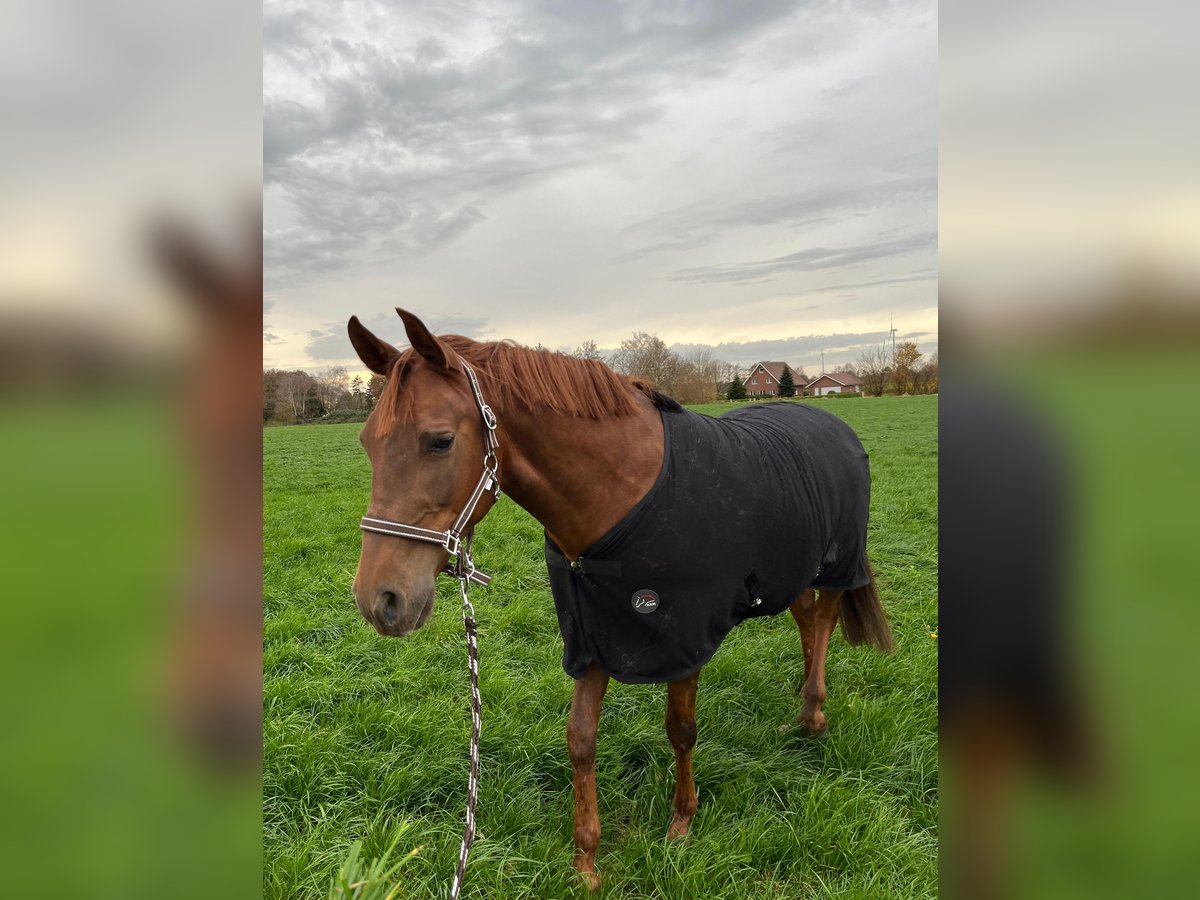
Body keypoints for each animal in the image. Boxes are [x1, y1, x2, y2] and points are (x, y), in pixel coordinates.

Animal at [348, 307, 892, 892]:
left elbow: (681, 729)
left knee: (826, 619)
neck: (620, 498)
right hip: (788, 571)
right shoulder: (593, 634)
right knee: (807, 619)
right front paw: (586, 861)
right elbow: (580, 739)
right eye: (366, 443)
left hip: (837, 566)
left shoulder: (683, 636)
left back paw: (812, 712)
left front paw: (681, 822)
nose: (380, 599)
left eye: (441, 441)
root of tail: (833, 422)